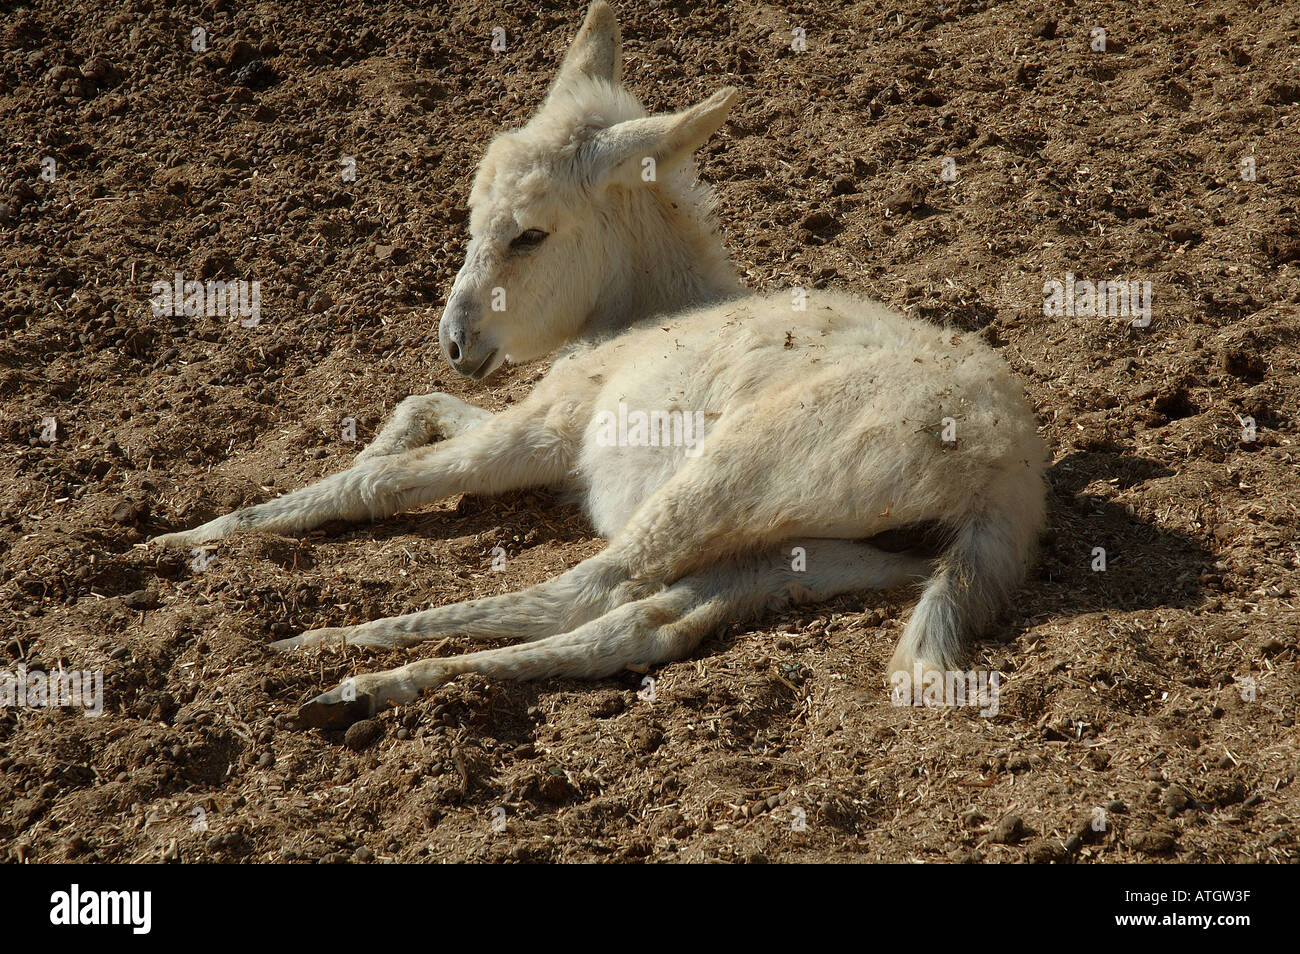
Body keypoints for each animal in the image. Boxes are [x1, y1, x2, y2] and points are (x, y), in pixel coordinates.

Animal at [152, 1, 1045, 733]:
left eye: (529, 234)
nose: (457, 340)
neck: (644, 317)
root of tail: (1006, 476)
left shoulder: (549, 427)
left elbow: (374, 482)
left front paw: (175, 541)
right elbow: (417, 407)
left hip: (733, 471)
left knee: (591, 588)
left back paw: (325, 646)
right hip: (814, 553)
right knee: (641, 623)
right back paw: (362, 686)